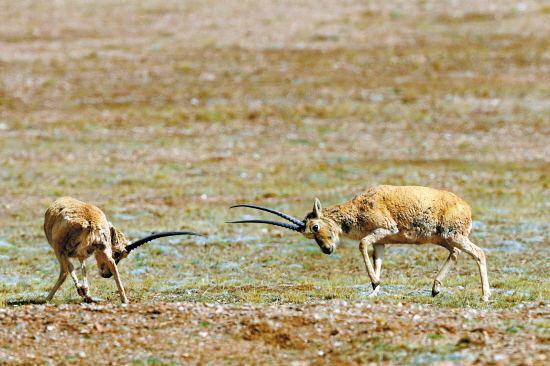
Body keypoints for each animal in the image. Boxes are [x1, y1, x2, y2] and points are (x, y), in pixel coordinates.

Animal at [43, 197, 203, 304]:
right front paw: (86, 292)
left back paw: (48, 298)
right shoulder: (82, 255)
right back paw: (124, 300)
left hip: (59, 249)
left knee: (64, 270)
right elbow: (83, 268)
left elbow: (71, 268)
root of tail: (91, 222)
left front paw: (83, 292)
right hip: (101, 250)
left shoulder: (64, 251)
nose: (105, 275)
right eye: (118, 253)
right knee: (113, 266)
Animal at [229, 184, 492, 302]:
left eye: (315, 227)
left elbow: (362, 244)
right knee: (456, 254)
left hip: (453, 235)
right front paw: (374, 290)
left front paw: (374, 283)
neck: (358, 207)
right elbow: (377, 259)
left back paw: (485, 296)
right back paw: (435, 288)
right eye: (308, 234)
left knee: (478, 253)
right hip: (444, 239)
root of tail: (466, 207)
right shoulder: (382, 242)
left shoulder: (384, 230)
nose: (327, 249)